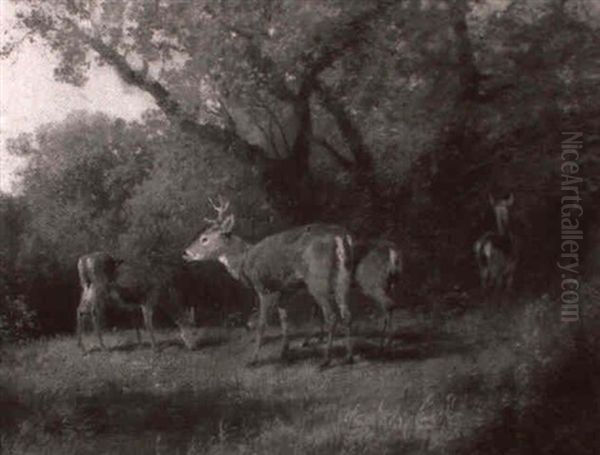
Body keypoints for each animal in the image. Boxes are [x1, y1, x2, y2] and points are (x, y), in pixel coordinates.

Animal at [180, 198, 354, 368]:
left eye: (204, 238)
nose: (185, 253)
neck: (244, 261)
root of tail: (340, 237)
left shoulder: (264, 288)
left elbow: (261, 324)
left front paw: (253, 360)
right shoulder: (284, 290)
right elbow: (284, 320)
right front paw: (284, 353)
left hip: (317, 278)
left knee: (331, 316)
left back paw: (326, 360)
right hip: (344, 276)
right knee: (346, 314)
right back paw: (348, 357)